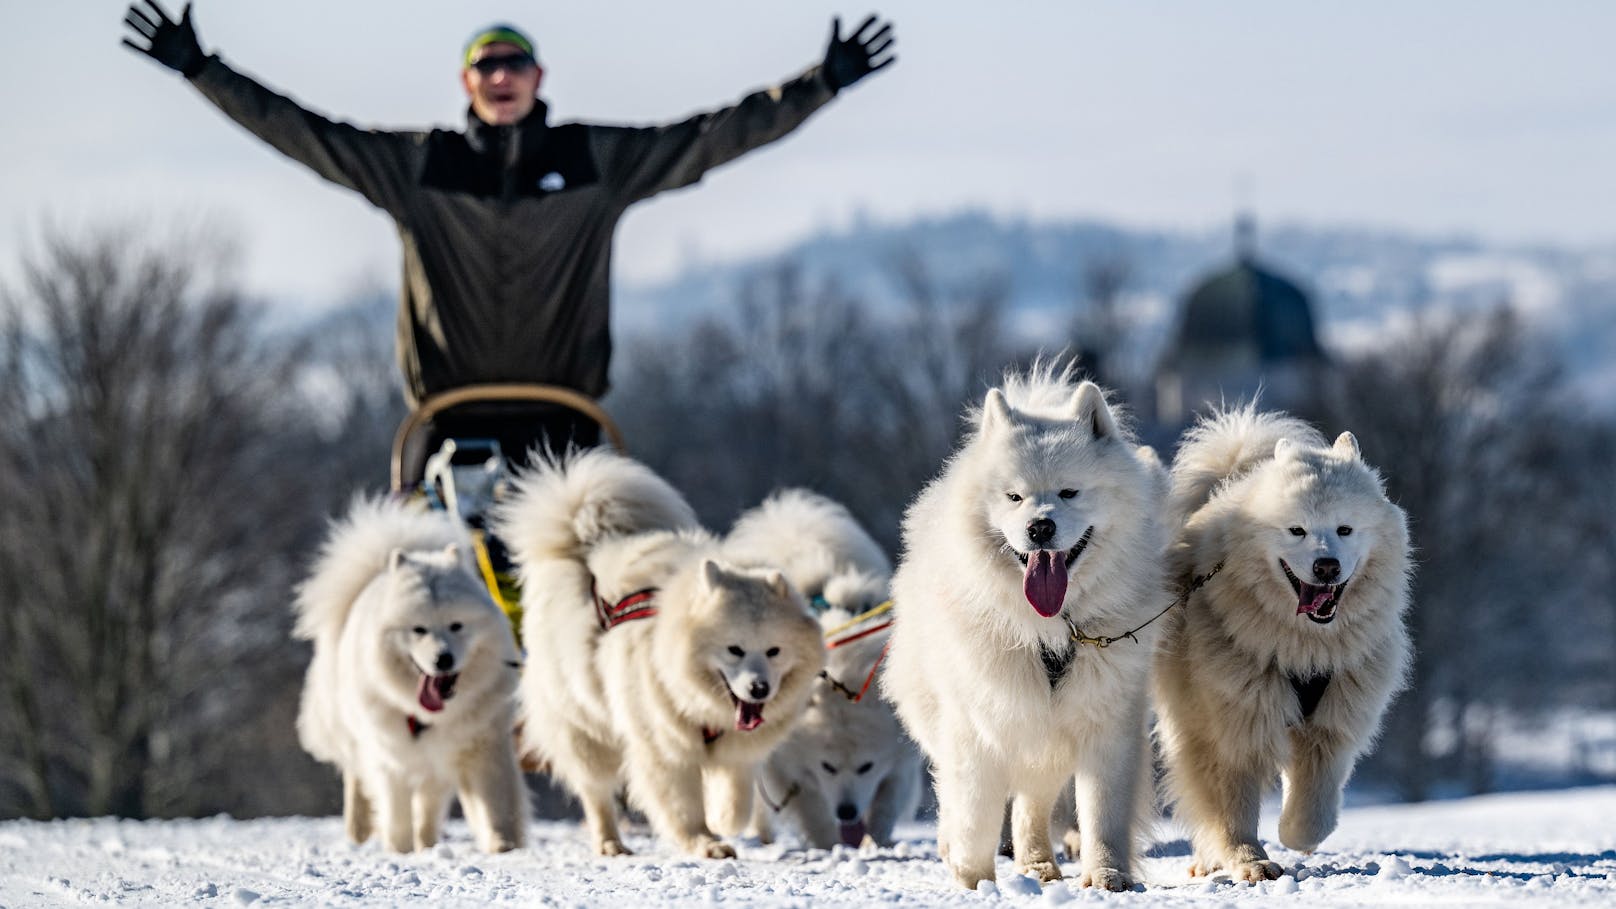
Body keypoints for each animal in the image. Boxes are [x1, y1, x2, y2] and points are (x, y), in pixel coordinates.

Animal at [297, 494, 530, 847]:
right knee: (356, 778)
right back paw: (360, 830)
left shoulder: (482, 749)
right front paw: (401, 850)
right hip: (353, 735)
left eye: (456, 626)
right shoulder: (392, 763)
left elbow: (496, 808)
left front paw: (503, 846)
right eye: (419, 629)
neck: (429, 716)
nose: (443, 659)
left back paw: (429, 842)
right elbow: (397, 819)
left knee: (429, 807)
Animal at [494, 449, 827, 854]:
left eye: (774, 651)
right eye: (734, 650)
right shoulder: (664, 747)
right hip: (585, 728)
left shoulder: (737, 750)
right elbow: (683, 806)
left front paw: (724, 820)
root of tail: (587, 543)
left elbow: (737, 798)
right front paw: (706, 843)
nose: (759, 688)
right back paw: (610, 843)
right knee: (595, 791)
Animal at [879, 363, 1169, 886]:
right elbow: (974, 814)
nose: (1039, 527)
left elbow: (1102, 813)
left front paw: (1107, 877)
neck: (1049, 630)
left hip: (1046, 734)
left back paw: (1038, 865)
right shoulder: (979, 722)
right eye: (1014, 497)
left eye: (1069, 492)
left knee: (1032, 805)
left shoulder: (1106, 722)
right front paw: (973, 879)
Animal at [1157, 402, 1409, 879]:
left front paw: (1295, 836)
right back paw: (1208, 860)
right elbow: (1231, 808)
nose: (1327, 566)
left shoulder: (1331, 721)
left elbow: (1314, 805)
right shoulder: (1234, 722)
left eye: (1344, 529)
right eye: (1297, 530)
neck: (1304, 646)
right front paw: (1250, 862)